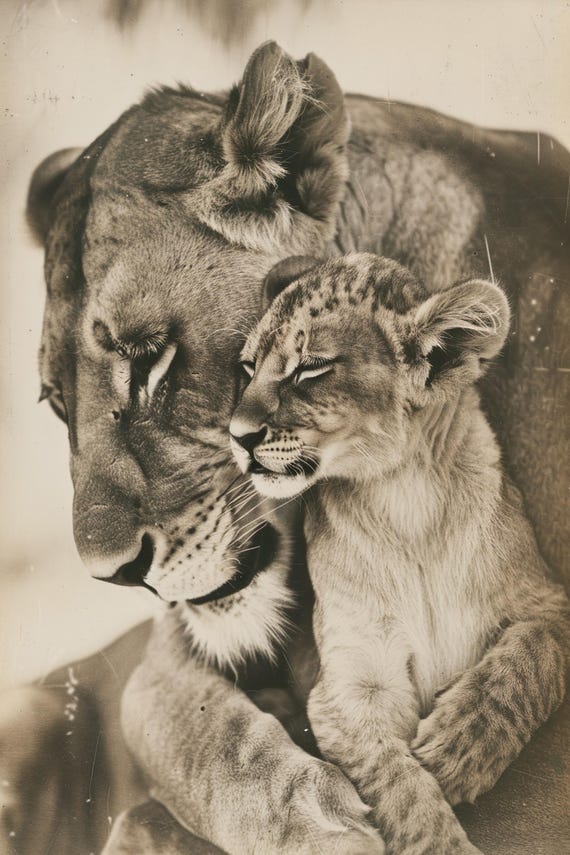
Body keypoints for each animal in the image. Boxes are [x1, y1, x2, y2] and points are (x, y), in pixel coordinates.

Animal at [230, 252, 570, 854]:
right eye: (248, 369)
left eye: (309, 368)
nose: (236, 435)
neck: (407, 497)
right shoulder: (353, 684)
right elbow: (402, 789)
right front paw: (439, 821)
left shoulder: (550, 600)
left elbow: (526, 659)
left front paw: (457, 750)